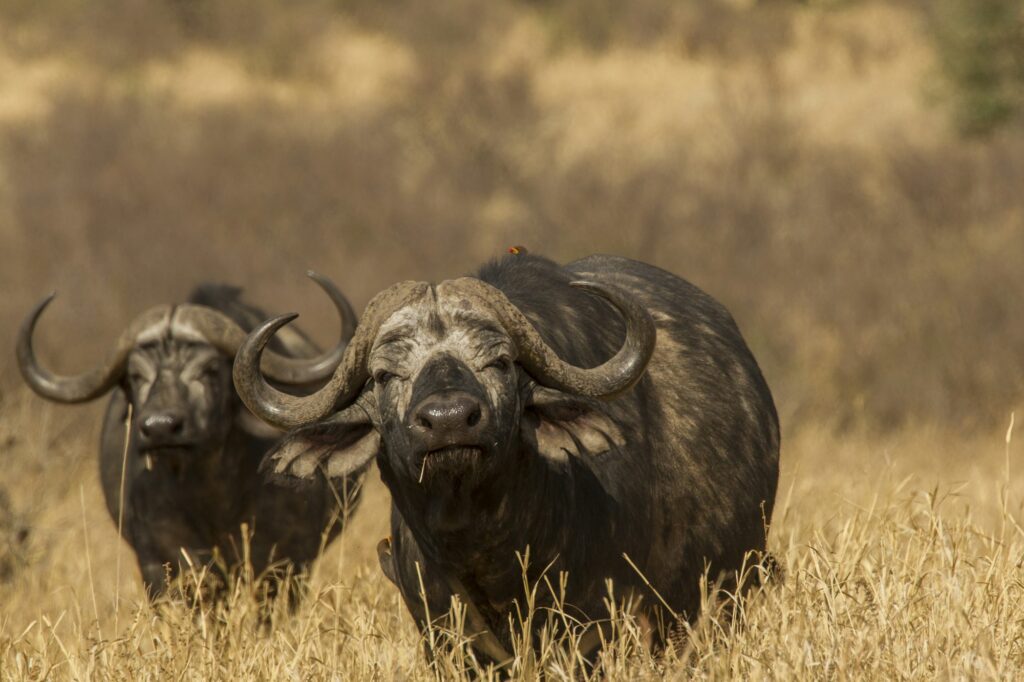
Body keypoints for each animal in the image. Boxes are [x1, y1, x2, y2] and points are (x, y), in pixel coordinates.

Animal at [17, 274, 364, 598]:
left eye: (209, 370)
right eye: (136, 376)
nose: (160, 427)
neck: (213, 498)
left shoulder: (288, 561)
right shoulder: (160, 561)